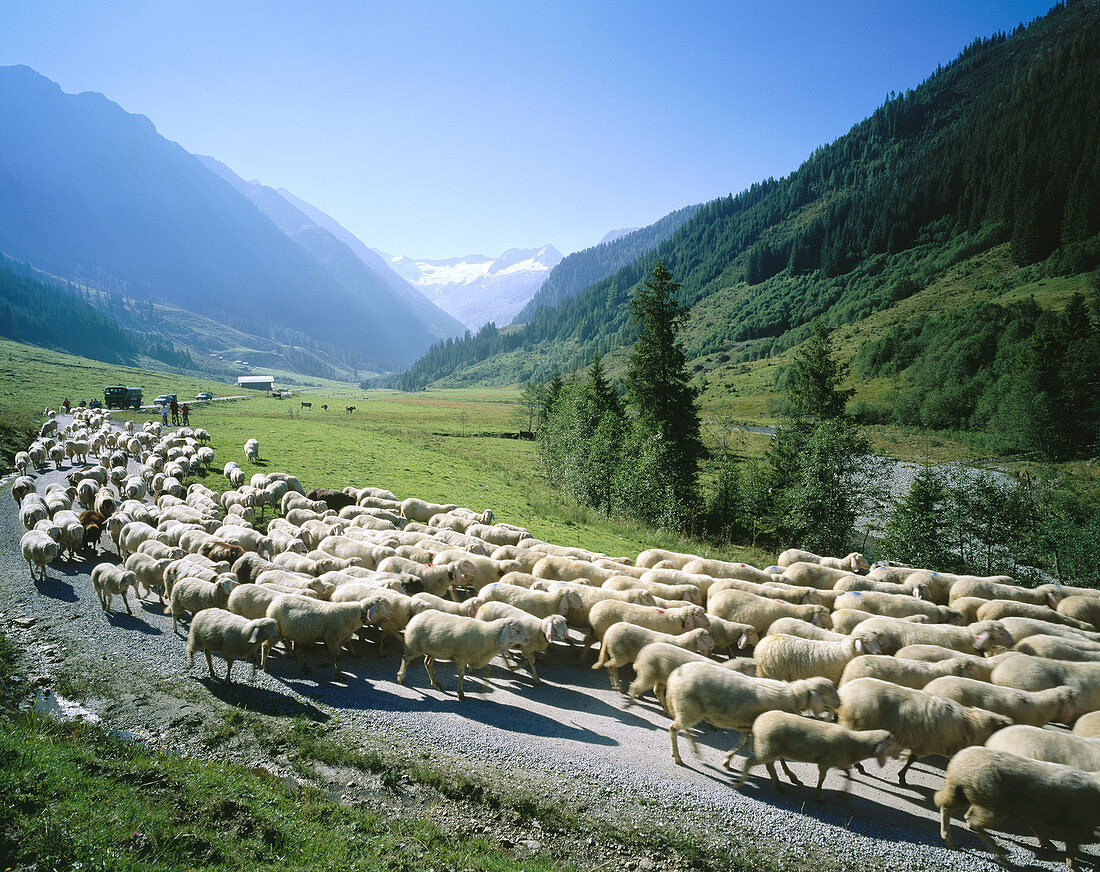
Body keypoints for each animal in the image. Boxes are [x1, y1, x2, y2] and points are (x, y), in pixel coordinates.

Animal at [398, 606, 530, 699]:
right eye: (516, 630)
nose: (528, 639)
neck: (487, 636)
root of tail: (418, 615)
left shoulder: (479, 659)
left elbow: (488, 672)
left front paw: (484, 692)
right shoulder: (461, 658)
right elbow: (461, 676)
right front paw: (460, 693)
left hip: (433, 650)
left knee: (428, 664)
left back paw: (435, 683)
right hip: (413, 646)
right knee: (405, 659)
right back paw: (400, 677)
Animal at [730, 712, 902, 800]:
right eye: (891, 743)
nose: (900, 754)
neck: (857, 743)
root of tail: (757, 722)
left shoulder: (838, 762)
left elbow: (849, 774)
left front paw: (843, 792)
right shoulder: (825, 763)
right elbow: (822, 778)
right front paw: (819, 795)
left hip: (771, 749)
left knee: (769, 766)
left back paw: (779, 786)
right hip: (768, 748)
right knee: (750, 762)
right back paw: (739, 783)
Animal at [836, 677, 1007, 787]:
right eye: (998, 725)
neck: (968, 724)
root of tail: (844, 691)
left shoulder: (921, 744)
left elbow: (911, 760)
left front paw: (902, 776)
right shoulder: (924, 746)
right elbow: (911, 761)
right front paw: (902, 778)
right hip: (854, 724)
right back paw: (858, 766)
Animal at [937, 743, 1100, 870]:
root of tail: (959, 762)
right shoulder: (1072, 825)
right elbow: (1072, 849)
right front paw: (1073, 865)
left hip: (965, 795)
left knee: (950, 809)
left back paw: (948, 838)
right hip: (993, 806)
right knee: (972, 823)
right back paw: (1002, 857)